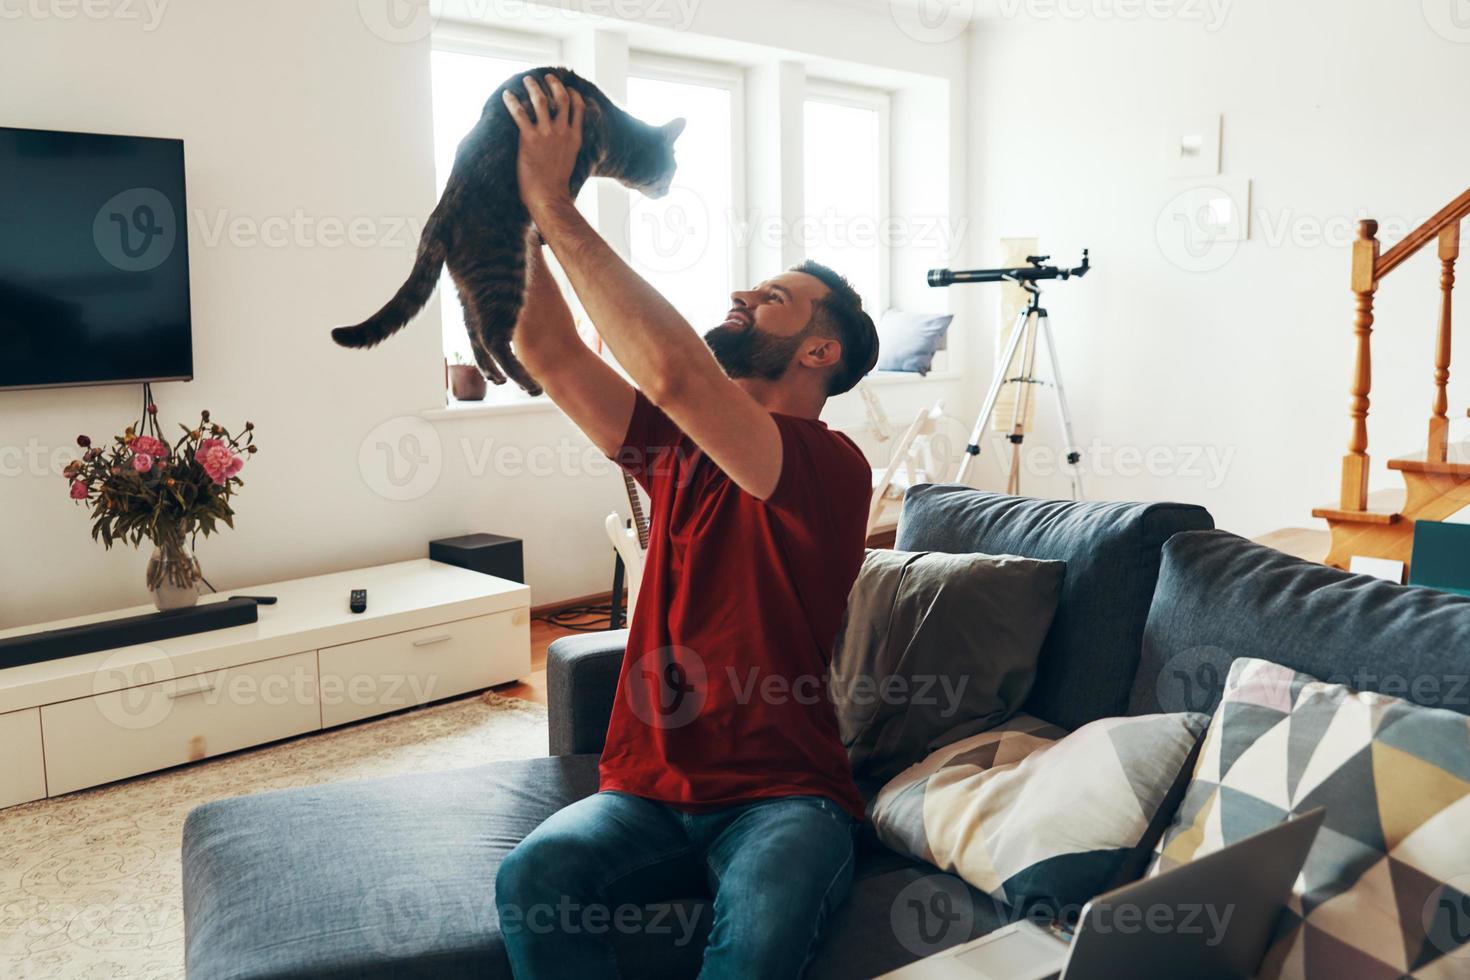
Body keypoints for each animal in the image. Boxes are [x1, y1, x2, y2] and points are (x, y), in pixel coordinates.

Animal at [330, 65, 685, 396]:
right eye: (672, 168)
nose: (669, 189)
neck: (616, 134)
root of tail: (442, 212)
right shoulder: (581, 154)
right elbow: (570, 190)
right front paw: (545, 230)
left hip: (473, 282)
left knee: (473, 328)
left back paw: (493, 373)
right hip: (504, 271)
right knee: (491, 334)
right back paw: (528, 382)